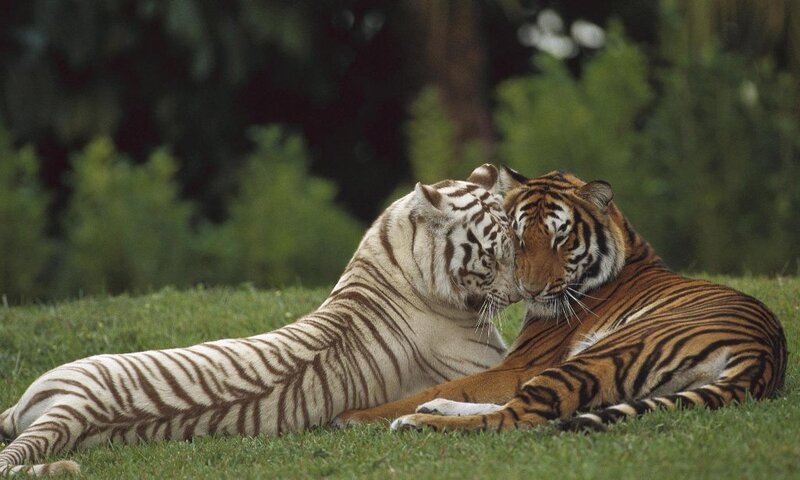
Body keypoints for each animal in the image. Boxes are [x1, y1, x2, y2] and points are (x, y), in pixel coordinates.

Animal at [0, 164, 521, 475]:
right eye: (493, 256)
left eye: (518, 245)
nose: (522, 292)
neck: (395, 253)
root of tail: (76, 408)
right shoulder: (489, 364)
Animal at [335, 168, 787, 434]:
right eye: (518, 238)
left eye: (561, 239)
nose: (530, 290)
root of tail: (763, 354)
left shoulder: (522, 364)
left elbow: (456, 383)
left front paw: (356, 415)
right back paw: (432, 409)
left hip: (600, 355)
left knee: (519, 415)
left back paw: (413, 421)